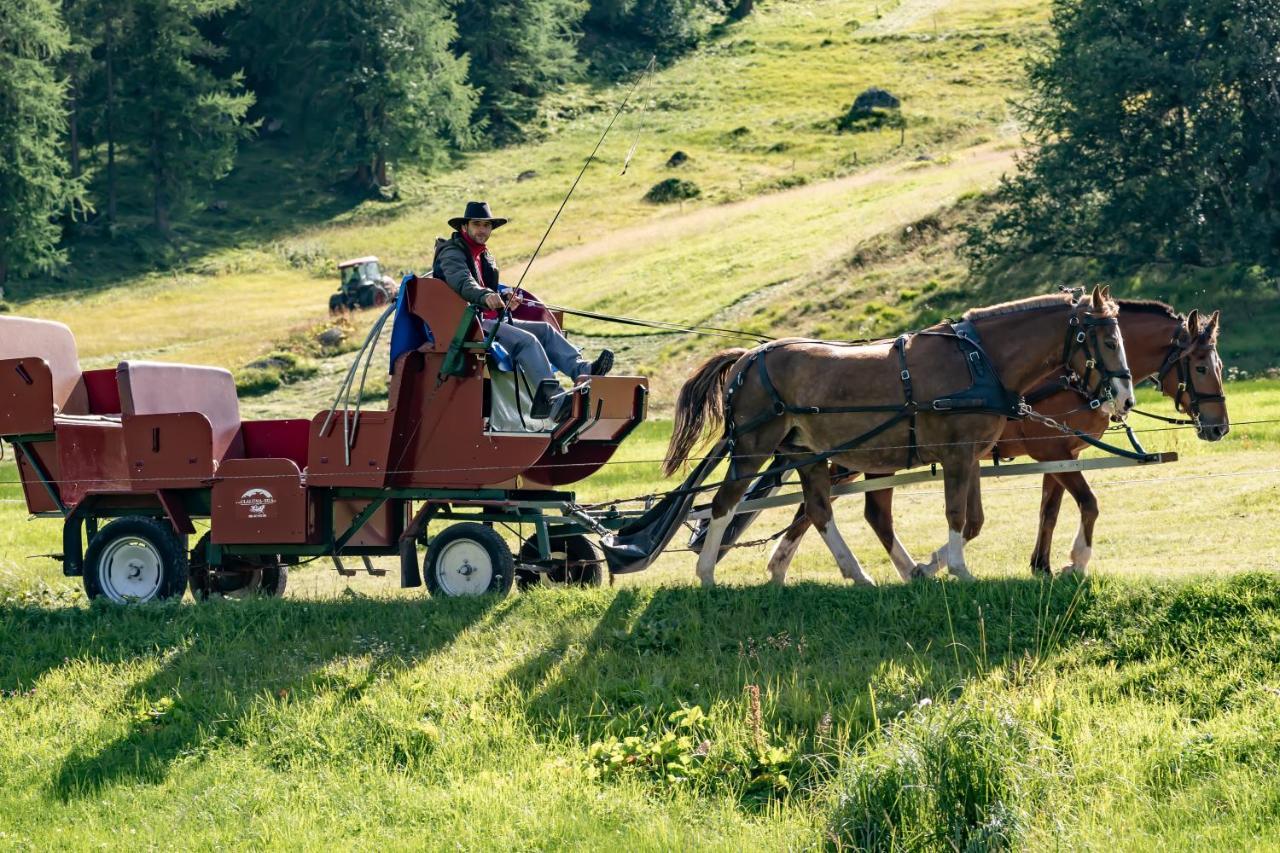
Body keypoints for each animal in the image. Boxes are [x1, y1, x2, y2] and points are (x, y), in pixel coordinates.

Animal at [665, 285, 1136, 584]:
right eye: (1109, 342)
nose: (1125, 398)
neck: (980, 362)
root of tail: (748, 356)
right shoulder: (957, 455)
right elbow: (956, 514)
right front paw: (959, 571)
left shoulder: (970, 456)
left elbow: (974, 519)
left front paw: (931, 568)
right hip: (752, 446)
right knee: (724, 503)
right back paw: (707, 575)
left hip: (806, 452)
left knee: (819, 510)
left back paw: (860, 574)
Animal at [757, 295, 1228, 581]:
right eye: (1201, 367)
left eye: (1218, 365)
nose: (1219, 426)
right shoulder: (1050, 448)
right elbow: (1087, 504)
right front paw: (1075, 561)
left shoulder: (1059, 454)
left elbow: (1047, 511)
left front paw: (1041, 565)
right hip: (856, 458)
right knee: (818, 509)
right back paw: (785, 566)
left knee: (861, 512)